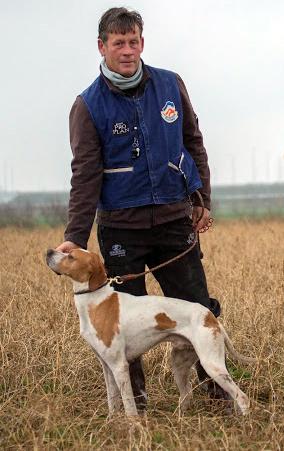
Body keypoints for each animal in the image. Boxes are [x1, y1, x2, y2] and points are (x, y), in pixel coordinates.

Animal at [46, 249, 255, 418]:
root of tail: (210, 316)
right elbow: (112, 400)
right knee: (187, 395)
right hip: (179, 364)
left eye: (71, 256)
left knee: (242, 397)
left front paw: (132, 426)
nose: (48, 251)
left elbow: (128, 403)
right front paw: (111, 423)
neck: (96, 301)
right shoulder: (106, 365)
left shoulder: (119, 366)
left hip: (212, 365)